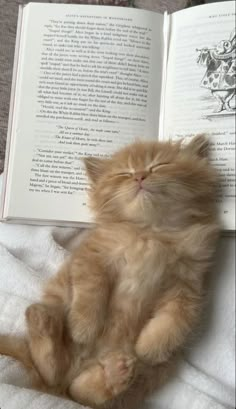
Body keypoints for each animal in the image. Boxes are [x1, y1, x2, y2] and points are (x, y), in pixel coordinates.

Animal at [0, 135, 219, 406]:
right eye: (124, 173)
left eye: (159, 165)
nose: (140, 176)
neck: (151, 233)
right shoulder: (93, 258)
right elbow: (92, 291)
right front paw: (83, 327)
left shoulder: (189, 285)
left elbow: (176, 319)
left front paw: (150, 346)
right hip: (58, 305)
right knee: (50, 370)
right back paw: (42, 322)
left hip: (152, 372)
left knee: (81, 393)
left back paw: (115, 374)